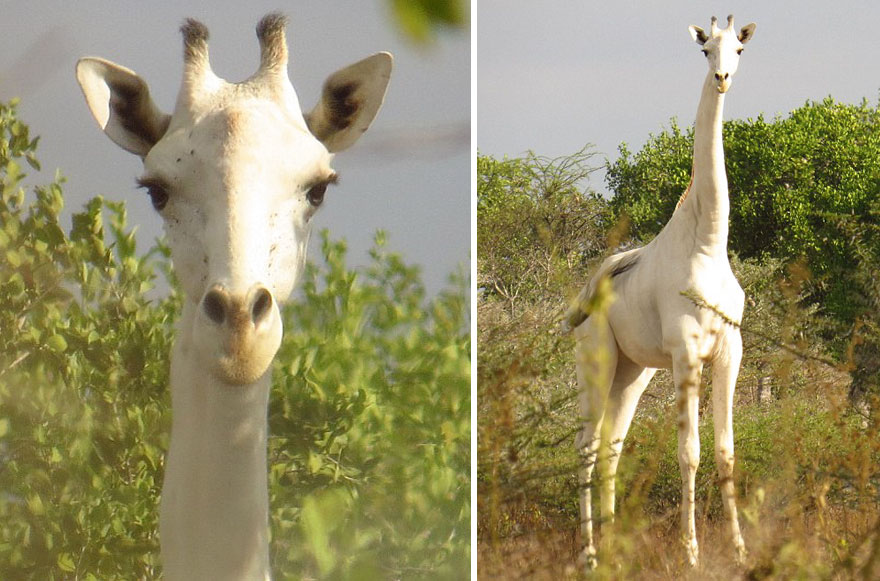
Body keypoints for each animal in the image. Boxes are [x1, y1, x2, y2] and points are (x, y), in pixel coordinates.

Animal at [563, 15, 755, 568]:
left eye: (739, 49)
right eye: (705, 50)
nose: (723, 79)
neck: (708, 243)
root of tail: (582, 296)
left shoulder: (730, 349)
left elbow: (725, 450)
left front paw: (739, 549)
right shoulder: (687, 351)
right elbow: (688, 452)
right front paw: (691, 552)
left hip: (634, 371)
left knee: (613, 444)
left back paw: (612, 548)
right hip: (597, 357)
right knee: (586, 445)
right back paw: (589, 553)